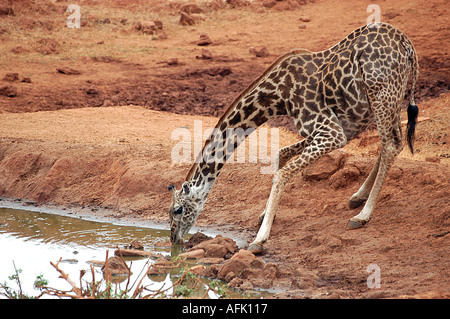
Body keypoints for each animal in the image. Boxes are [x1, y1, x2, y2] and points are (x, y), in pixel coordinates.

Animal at [167, 22, 420, 255]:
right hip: (388, 99)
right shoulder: (331, 131)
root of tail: (407, 45)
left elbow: (280, 173)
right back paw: (358, 197)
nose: (173, 239)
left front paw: (259, 240)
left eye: (177, 210)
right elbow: (281, 154)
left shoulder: (332, 132)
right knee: (390, 142)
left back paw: (362, 216)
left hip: (382, 94)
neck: (277, 96)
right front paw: (264, 215)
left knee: (391, 144)